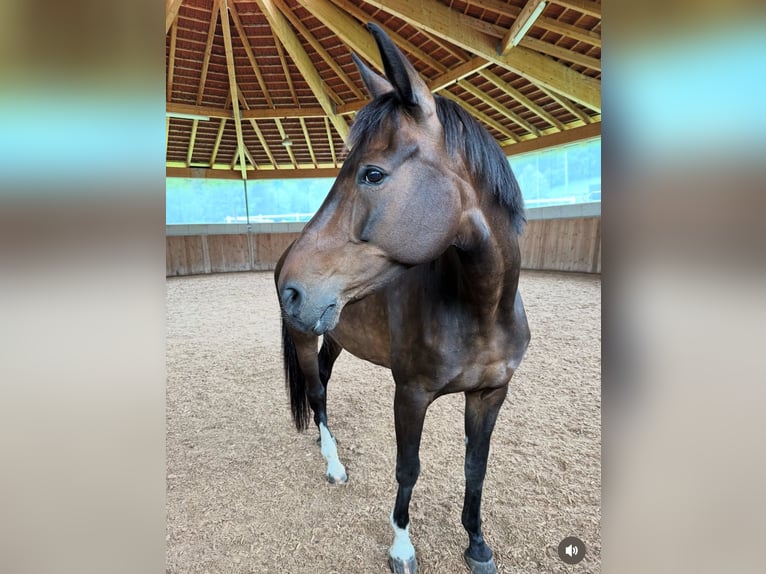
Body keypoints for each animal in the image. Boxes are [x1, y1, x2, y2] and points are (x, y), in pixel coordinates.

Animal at [274, 23, 530, 574]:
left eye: (372, 173)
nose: (294, 290)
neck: (481, 311)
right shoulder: (410, 393)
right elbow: (408, 468)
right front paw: (401, 547)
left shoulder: (490, 395)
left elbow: (475, 467)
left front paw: (477, 544)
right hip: (305, 338)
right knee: (317, 393)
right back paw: (333, 465)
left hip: (334, 336)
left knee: (323, 382)